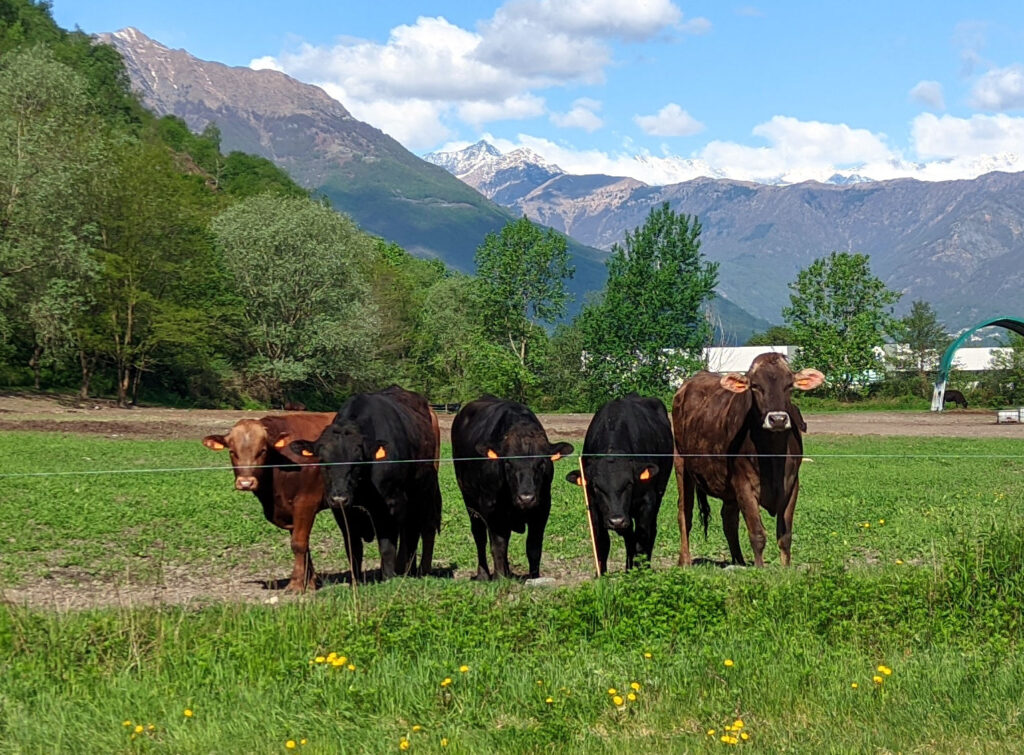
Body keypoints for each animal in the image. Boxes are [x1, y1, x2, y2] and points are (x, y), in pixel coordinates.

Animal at [201, 411, 358, 590]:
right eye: (232, 452)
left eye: (262, 451)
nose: (246, 482)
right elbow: (303, 544)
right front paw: (310, 582)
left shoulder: (306, 502)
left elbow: (298, 543)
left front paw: (296, 584)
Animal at [286, 385, 442, 581]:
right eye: (322, 460)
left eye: (358, 460)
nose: (340, 498)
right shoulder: (342, 511)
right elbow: (353, 548)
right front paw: (356, 580)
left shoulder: (390, 503)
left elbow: (387, 546)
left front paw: (388, 577)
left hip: (425, 488)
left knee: (422, 527)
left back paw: (418, 569)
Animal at [452, 397, 573, 581]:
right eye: (508, 463)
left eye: (542, 463)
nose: (526, 498)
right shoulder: (492, 509)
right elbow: (498, 545)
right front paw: (499, 578)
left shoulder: (542, 508)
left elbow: (533, 546)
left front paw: (534, 577)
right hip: (469, 500)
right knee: (480, 536)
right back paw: (484, 574)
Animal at [565, 395, 675, 569]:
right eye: (597, 487)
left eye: (629, 483)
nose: (616, 521)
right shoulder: (594, 505)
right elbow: (602, 543)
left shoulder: (648, 501)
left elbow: (642, 538)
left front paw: (640, 570)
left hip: (659, 493)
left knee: (650, 531)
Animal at [671, 352, 823, 565]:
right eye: (755, 386)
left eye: (789, 385)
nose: (777, 419)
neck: (772, 456)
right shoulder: (744, 484)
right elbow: (757, 535)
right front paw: (760, 569)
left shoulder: (792, 485)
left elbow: (785, 536)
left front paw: (785, 569)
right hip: (681, 464)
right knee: (685, 512)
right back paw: (685, 560)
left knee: (728, 519)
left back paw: (739, 562)